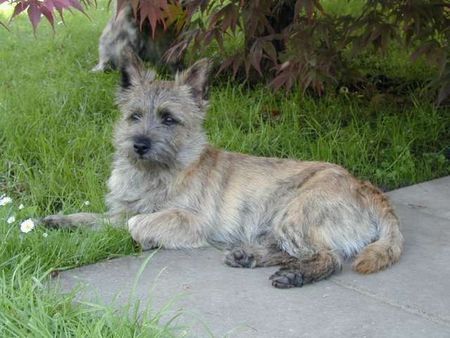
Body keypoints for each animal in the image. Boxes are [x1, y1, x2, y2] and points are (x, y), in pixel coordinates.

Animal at [45, 54, 404, 290]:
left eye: (169, 118)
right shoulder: (120, 211)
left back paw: (295, 275)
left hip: (296, 213)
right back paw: (250, 256)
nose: (139, 145)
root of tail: (366, 188)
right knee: (288, 250)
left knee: (328, 257)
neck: (156, 172)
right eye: (134, 116)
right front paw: (61, 221)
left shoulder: (190, 221)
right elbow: (96, 218)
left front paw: (144, 238)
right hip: (279, 221)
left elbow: (136, 223)